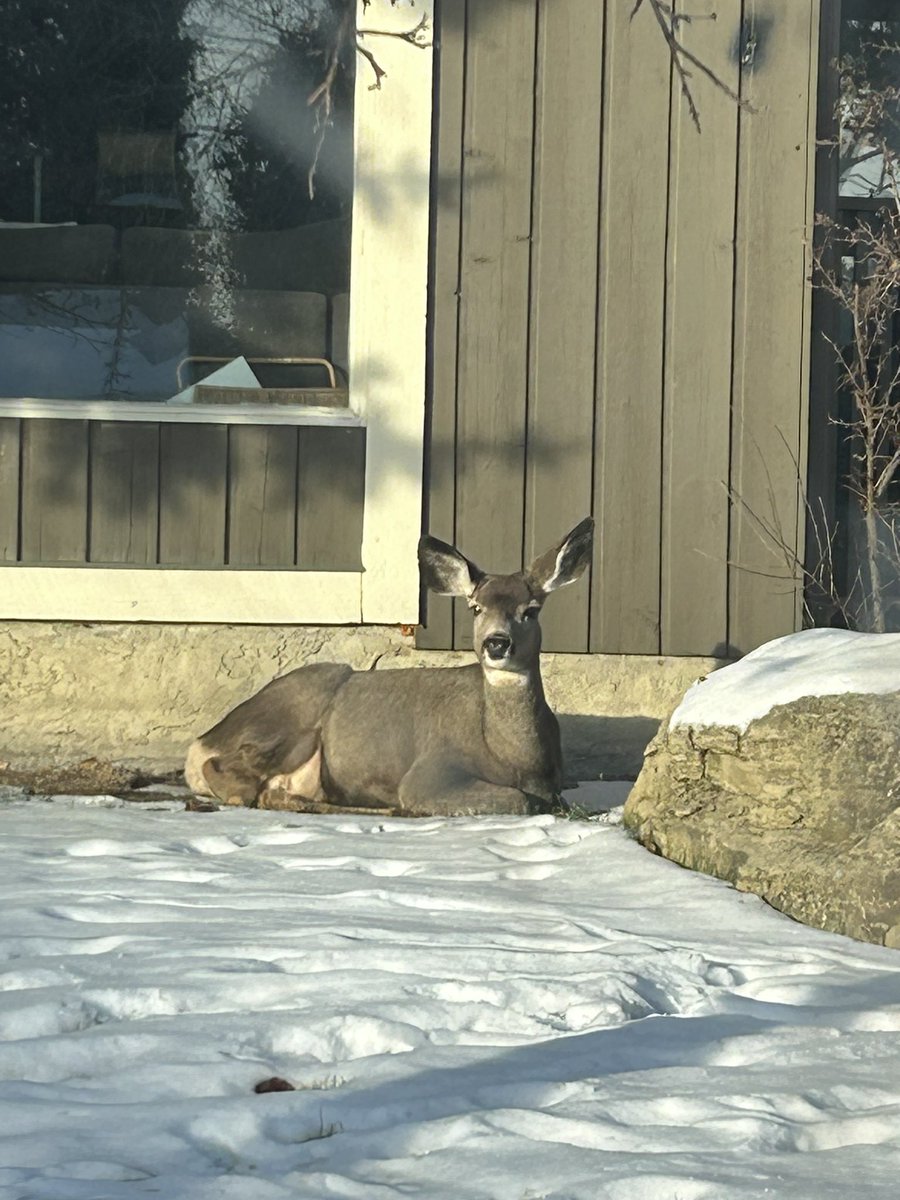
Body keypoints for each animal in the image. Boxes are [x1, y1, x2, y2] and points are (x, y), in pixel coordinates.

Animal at [184, 517, 594, 816]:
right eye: (476, 607)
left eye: (531, 610)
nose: (496, 642)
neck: (514, 756)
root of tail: (204, 739)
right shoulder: (431, 770)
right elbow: (522, 801)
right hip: (294, 718)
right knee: (226, 775)